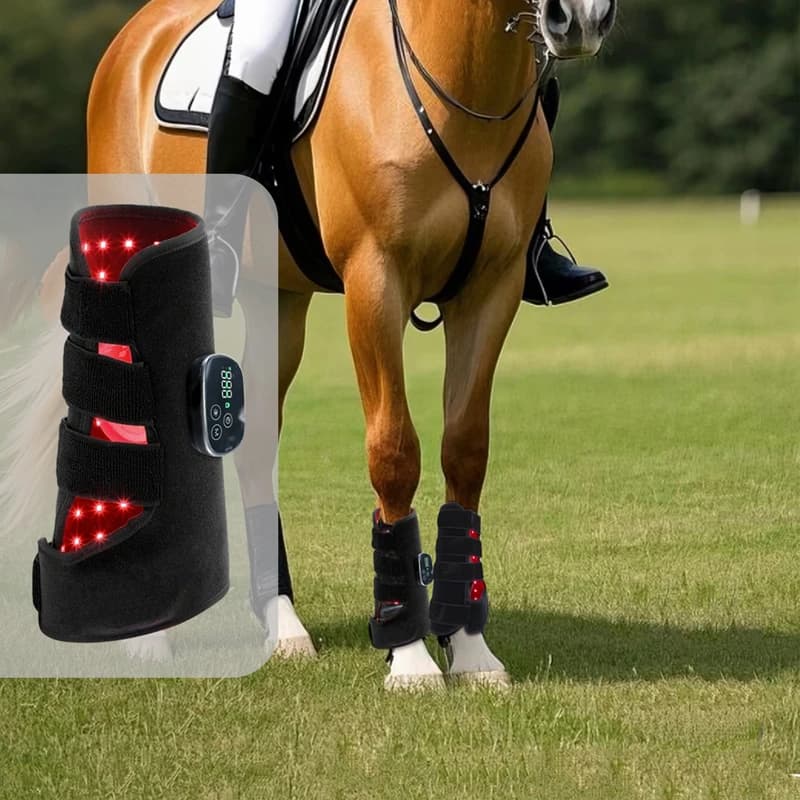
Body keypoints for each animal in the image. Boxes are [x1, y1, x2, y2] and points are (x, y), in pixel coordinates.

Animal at [15, 0, 615, 688]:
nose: (582, 20)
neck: (462, 79)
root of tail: (133, 37)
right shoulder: (374, 283)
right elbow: (394, 452)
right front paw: (408, 654)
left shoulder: (492, 290)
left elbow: (465, 451)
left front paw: (469, 649)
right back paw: (148, 634)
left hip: (276, 297)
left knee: (252, 446)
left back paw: (282, 626)